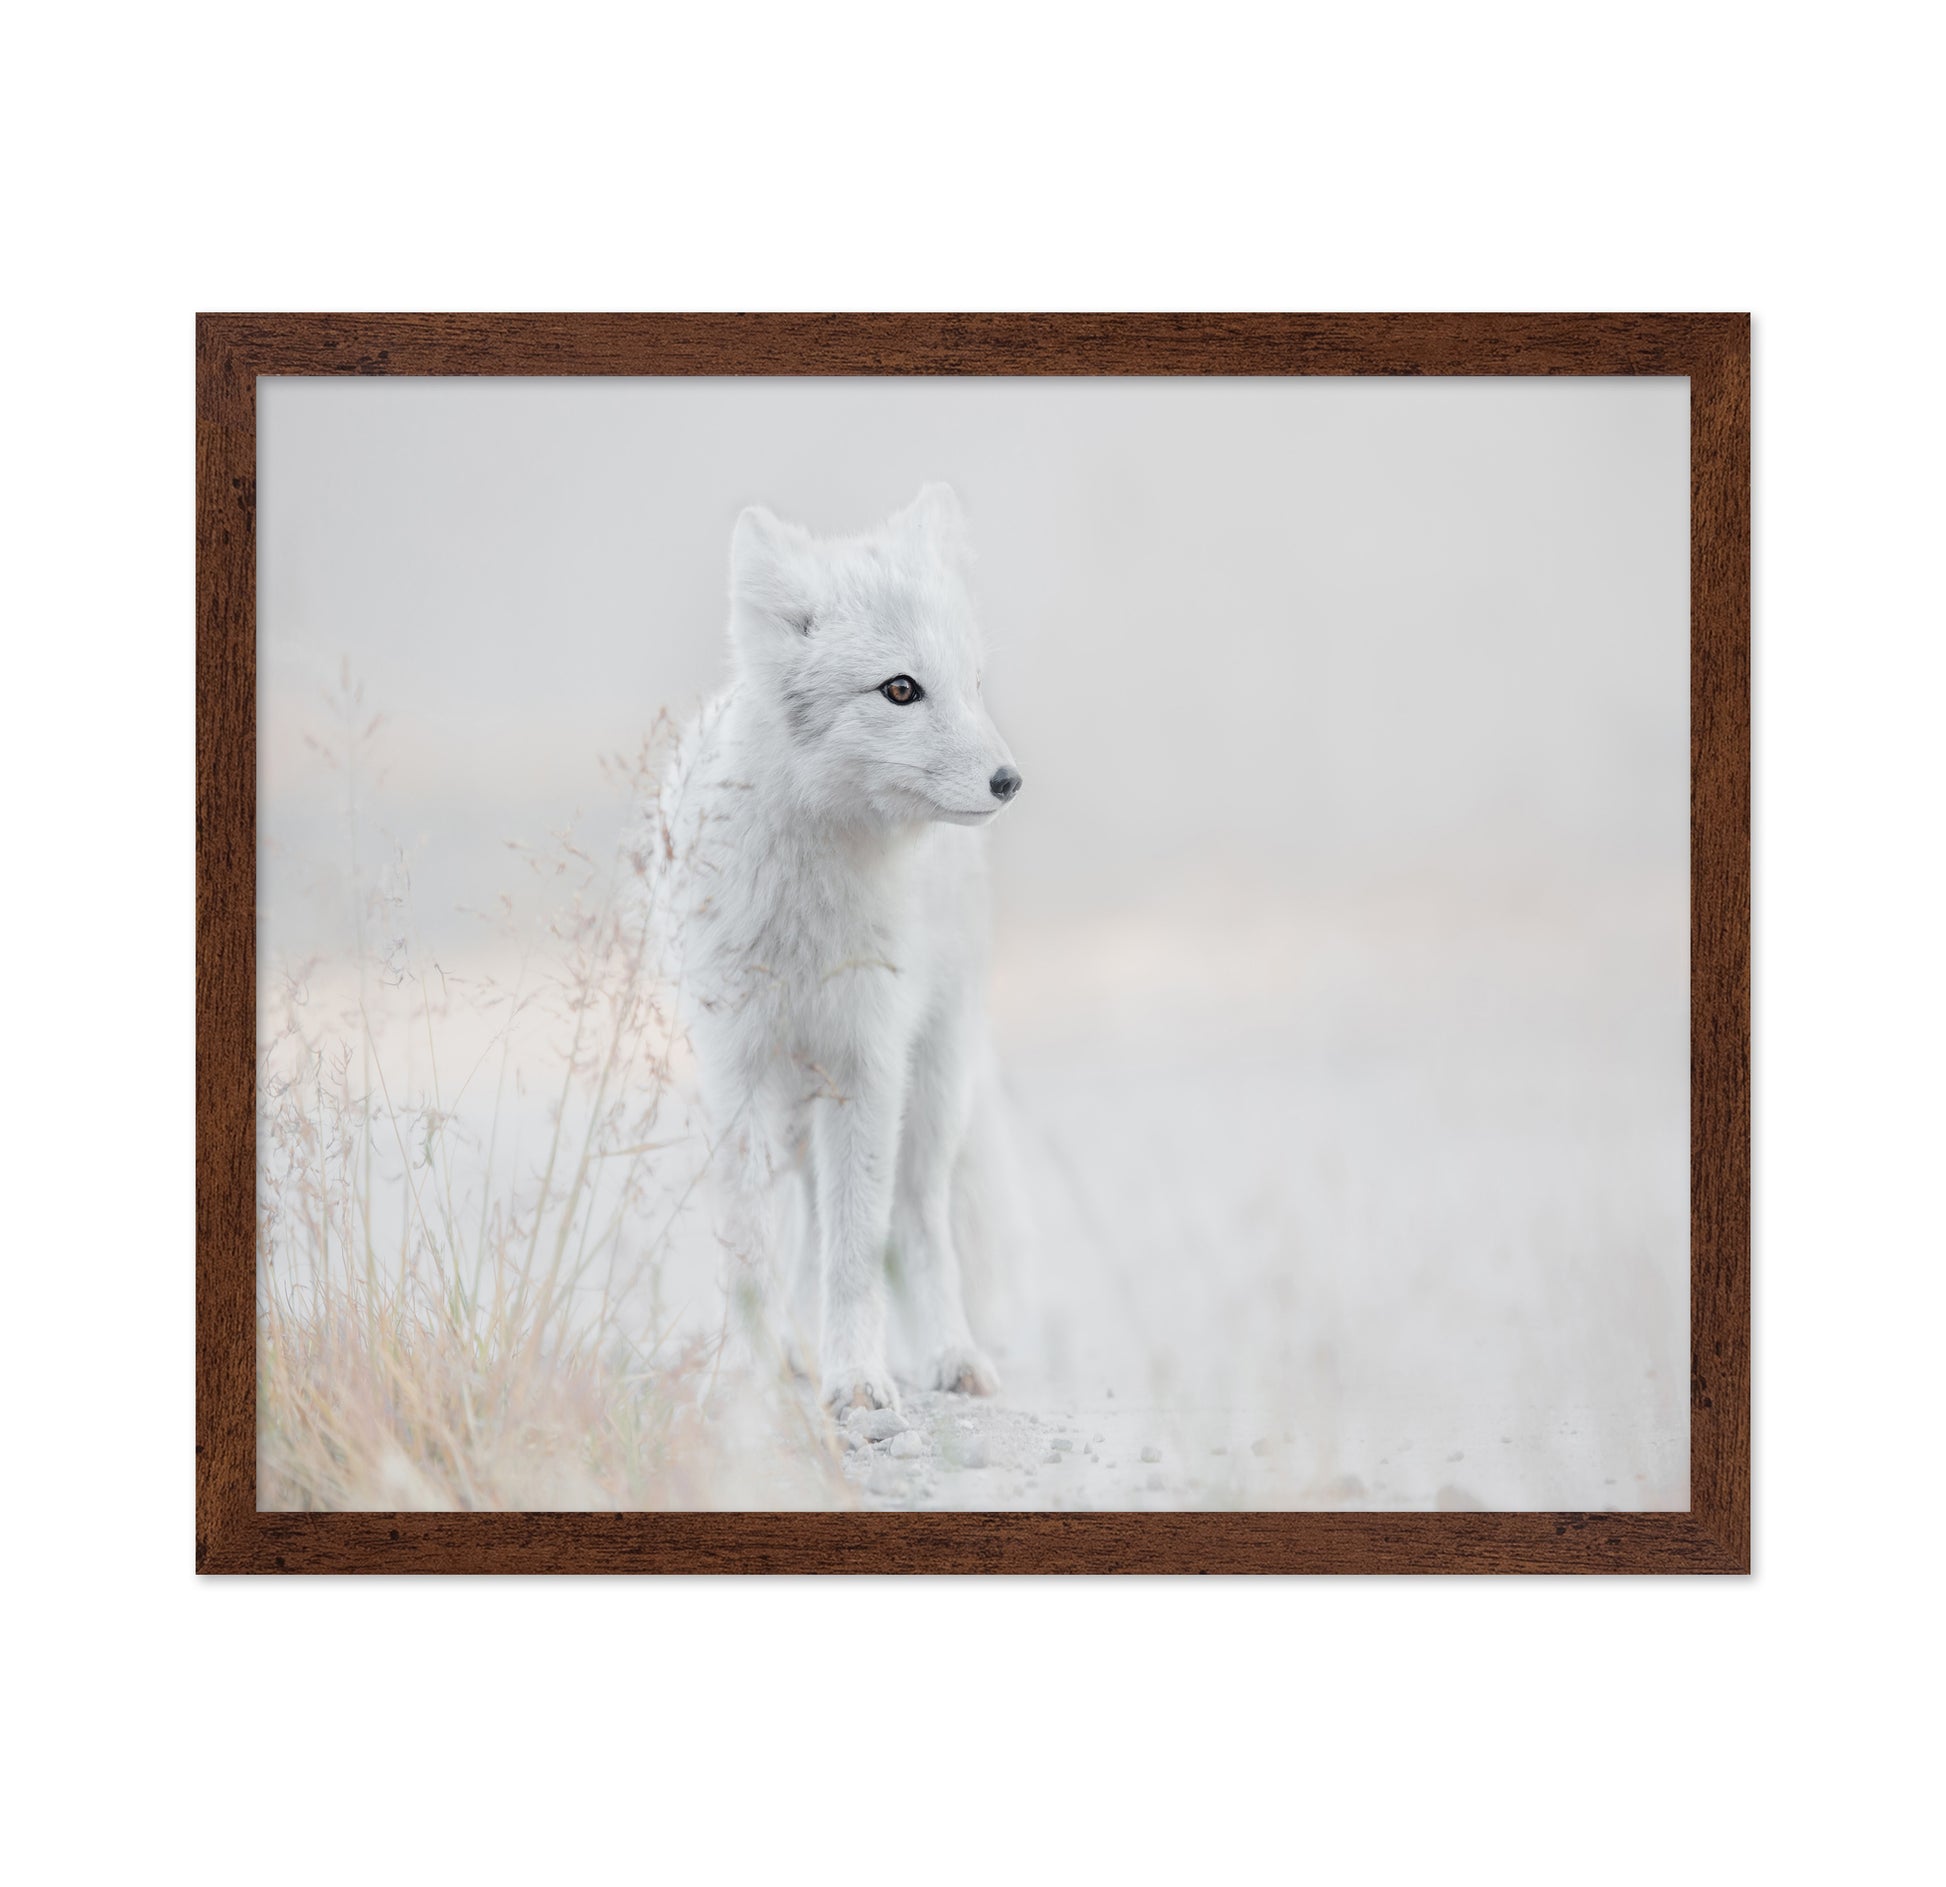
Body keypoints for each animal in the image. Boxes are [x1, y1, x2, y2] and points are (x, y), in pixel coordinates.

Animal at [648, 484, 1024, 1415]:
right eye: (901, 688)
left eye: (972, 683)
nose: (1009, 780)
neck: (807, 917)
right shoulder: (739, 1070)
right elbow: (750, 1246)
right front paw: (753, 1372)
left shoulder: (866, 1063)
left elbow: (857, 1253)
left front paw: (856, 1379)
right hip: (796, 1111)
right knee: (803, 1226)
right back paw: (795, 1350)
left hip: (926, 1096)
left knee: (915, 1221)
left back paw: (948, 1355)